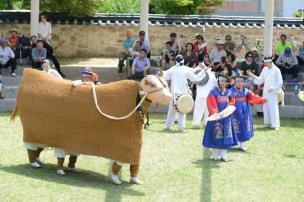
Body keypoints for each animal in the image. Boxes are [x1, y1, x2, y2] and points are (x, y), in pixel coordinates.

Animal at [11, 68, 171, 184]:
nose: (169, 96)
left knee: (40, 148)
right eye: (152, 84)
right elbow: (119, 163)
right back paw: (40, 164)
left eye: (165, 84)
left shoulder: (134, 145)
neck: (136, 101)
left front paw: (134, 179)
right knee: (34, 148)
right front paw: (115, 178)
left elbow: (135, 162)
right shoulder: (123, 147)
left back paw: (55, 164)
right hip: (34, 131)